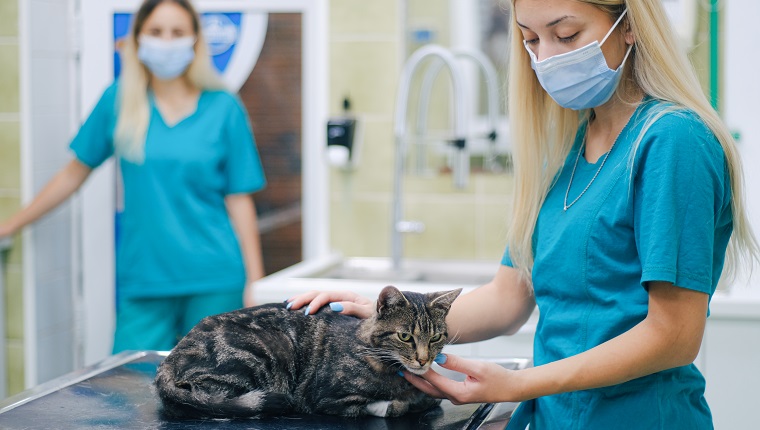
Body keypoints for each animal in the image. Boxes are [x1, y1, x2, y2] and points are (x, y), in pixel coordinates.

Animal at [154, 286, 460, 420]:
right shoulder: (327, 397)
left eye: (435, 337)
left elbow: (428, 400)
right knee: (204, 401)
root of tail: (172, 356)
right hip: (267, 349)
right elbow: (391, 407)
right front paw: (393, 404)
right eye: (405, 336)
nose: (423, 359)